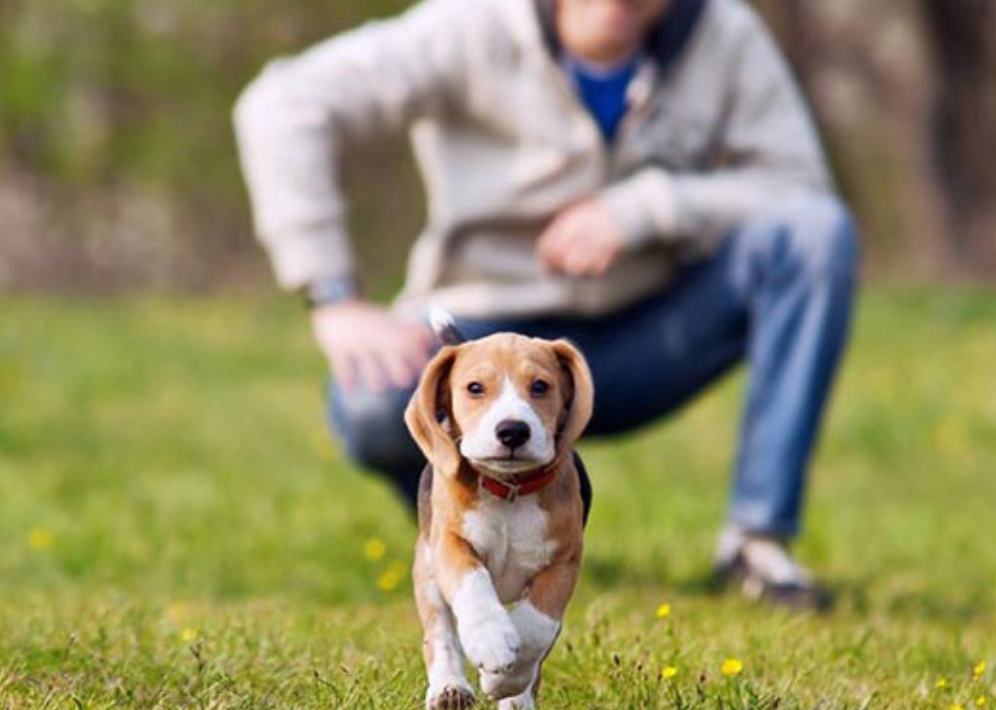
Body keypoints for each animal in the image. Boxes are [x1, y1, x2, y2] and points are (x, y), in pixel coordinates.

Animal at [402, 330, 592, 708]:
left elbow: (537, 624)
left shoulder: (563, 564)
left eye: (540, 386)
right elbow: (472, 582)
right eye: (475, 388)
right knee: (439, 634)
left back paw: (517, 700)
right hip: (427, 572)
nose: (513, 431)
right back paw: (449, 688)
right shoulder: (449, 543)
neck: (509, 490)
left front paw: (506, 680)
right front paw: (490, 639)